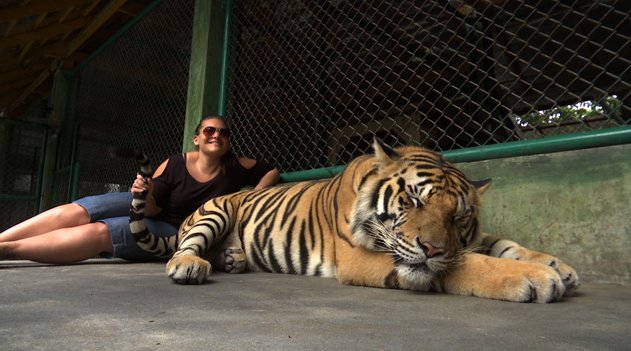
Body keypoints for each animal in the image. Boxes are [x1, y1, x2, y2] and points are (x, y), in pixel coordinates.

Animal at [116, 139, 580, 304]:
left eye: (459, 215)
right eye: (414, 199)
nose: (433, 246)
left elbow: (500, 244)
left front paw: (558, 266)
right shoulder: (364, 256)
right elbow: (466, 264)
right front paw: (534, 278)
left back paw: (233, 259)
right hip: (214, 211)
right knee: (183, 248)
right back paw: (190, 265)